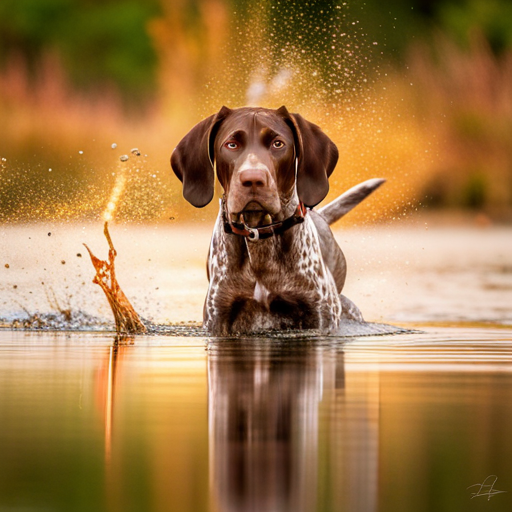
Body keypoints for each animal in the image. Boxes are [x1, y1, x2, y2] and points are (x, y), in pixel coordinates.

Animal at [172, 106, 384, 334]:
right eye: (231, 144)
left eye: (278, 144)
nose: (253, 179)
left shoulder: (320, 320)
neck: (259, 236)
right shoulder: (217, 318)